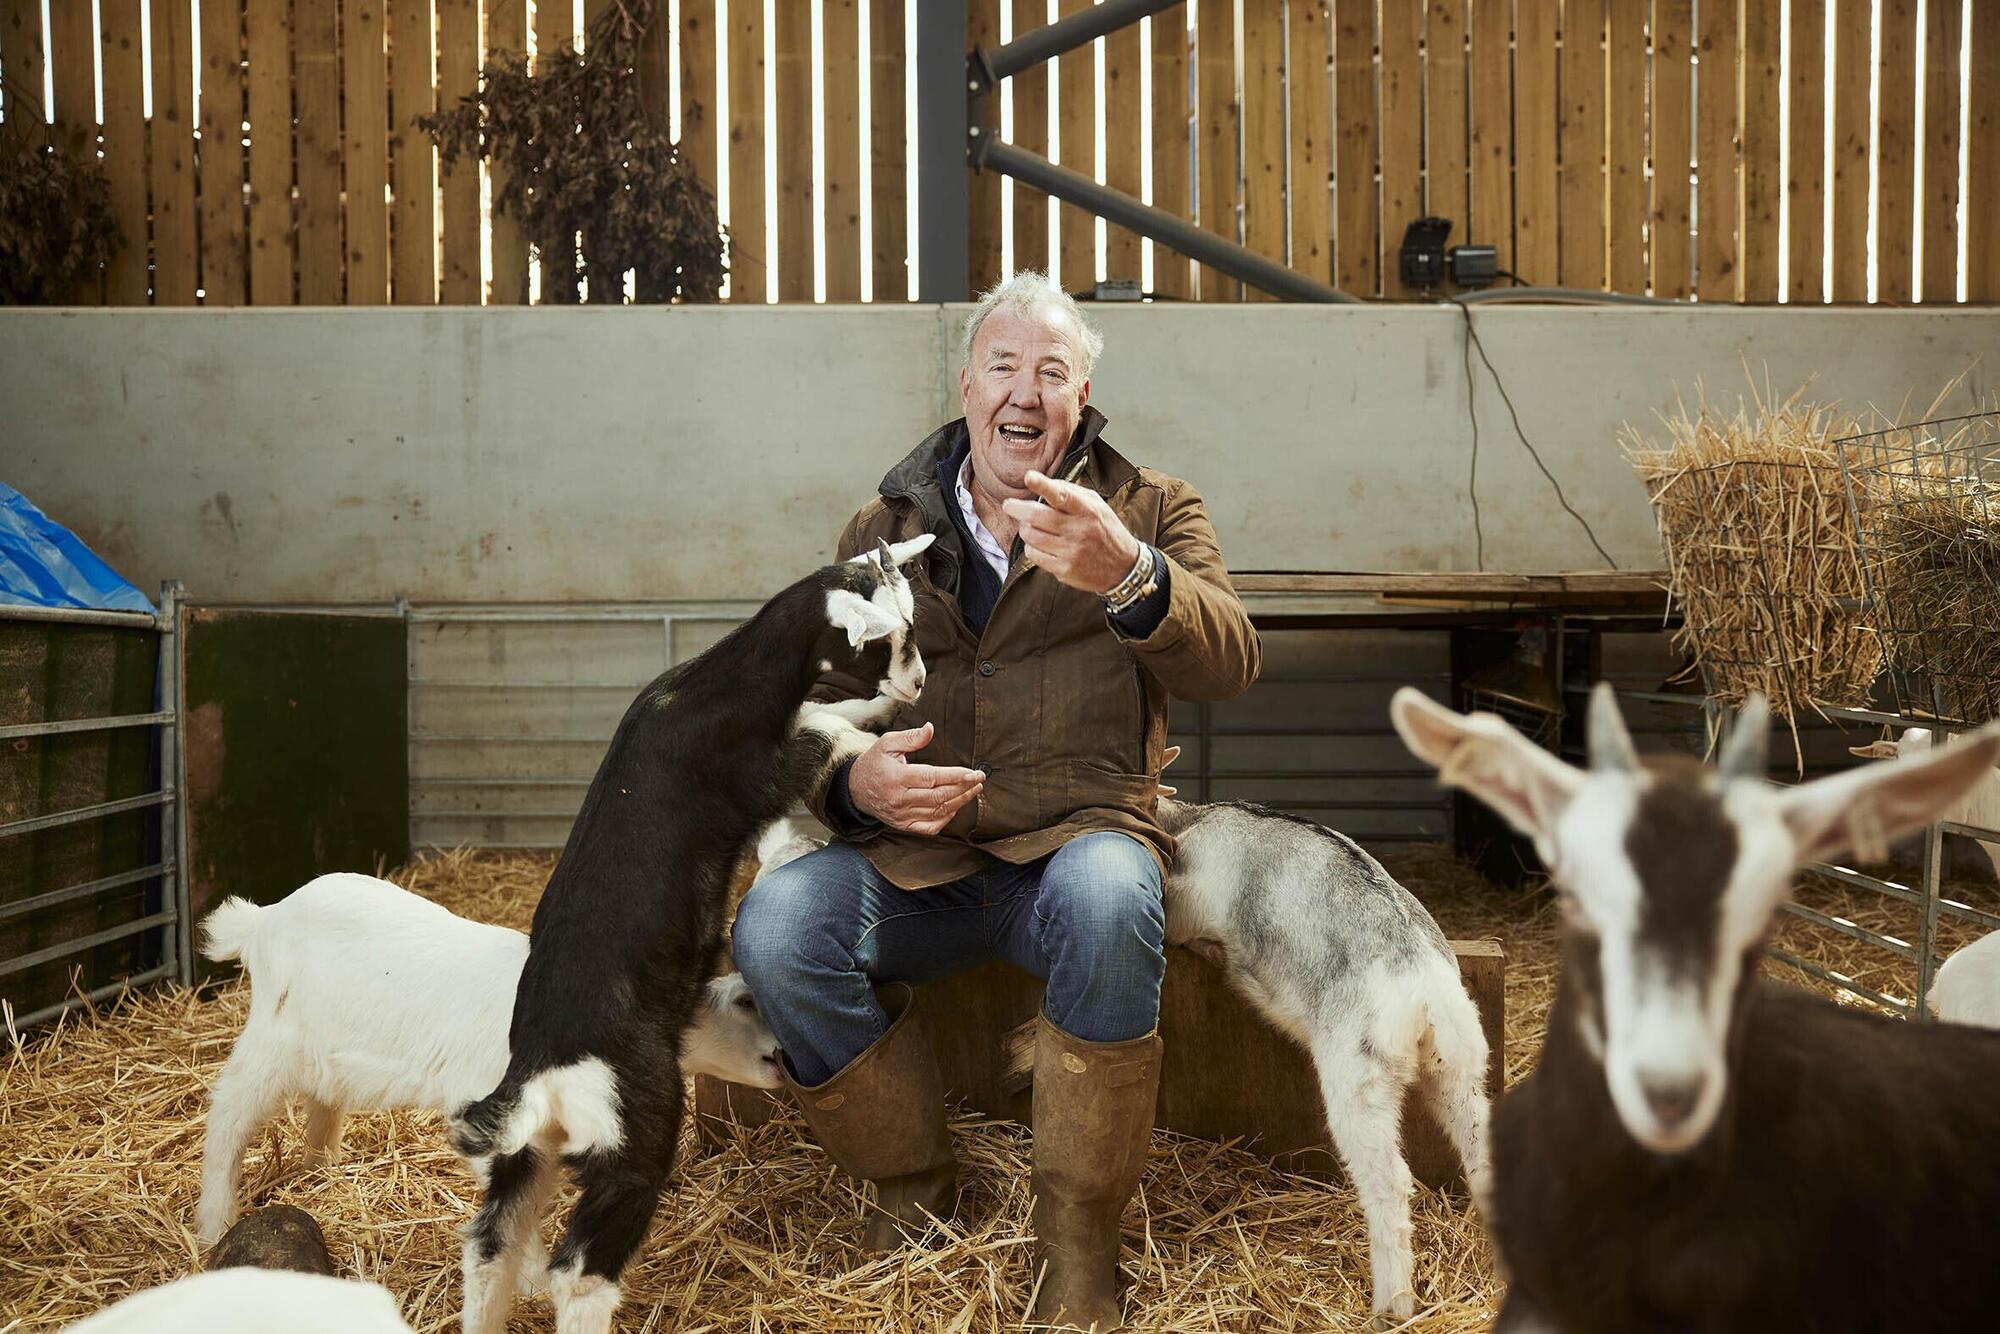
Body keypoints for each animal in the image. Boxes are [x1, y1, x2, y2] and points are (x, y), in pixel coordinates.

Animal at [189, 872, 780, 1248]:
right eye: (745, 1001)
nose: (783, 1054)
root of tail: (263, 918)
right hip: (274, 1037)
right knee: (229, 1109)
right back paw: (214, 1224)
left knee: (322, 1098)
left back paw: (323, 1170)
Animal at [450, 536, 932, 1334]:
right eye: (884, 640)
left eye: (913, 625)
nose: (920, 682)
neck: (718, 688)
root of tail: (544, 1076)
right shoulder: (765, 766)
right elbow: (827, 728)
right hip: (634, 1140)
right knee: (578, 1272)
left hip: (527, 1159)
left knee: (492, 1247)